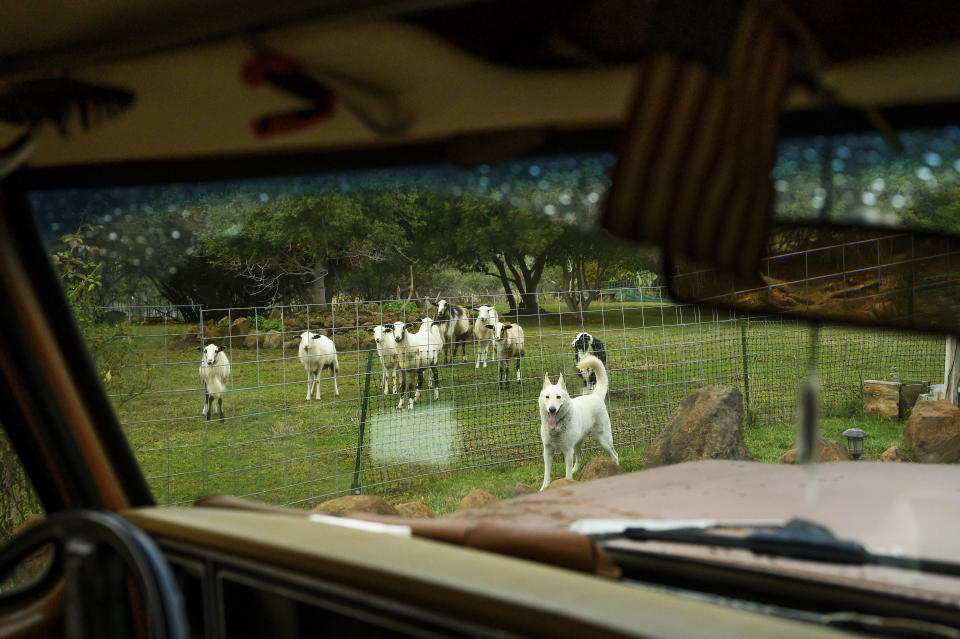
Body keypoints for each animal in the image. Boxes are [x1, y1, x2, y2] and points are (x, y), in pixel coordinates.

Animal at [536, 356, 620, 490]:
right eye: (547, 397)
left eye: (558, 397)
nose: (552, 409)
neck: (557, 427)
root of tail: (595, 396)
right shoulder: (548, 451)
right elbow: (546, 474)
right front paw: (544, 488)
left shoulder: (567, 451)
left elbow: (567, 474)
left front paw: (567, 481)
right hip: (577, 444)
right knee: (580, 458)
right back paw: (576, 471)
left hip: (604, 441)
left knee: (615, 455)